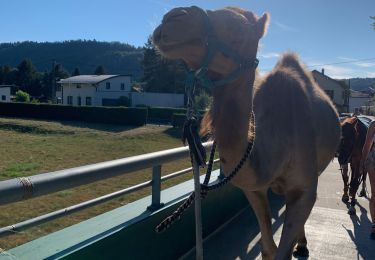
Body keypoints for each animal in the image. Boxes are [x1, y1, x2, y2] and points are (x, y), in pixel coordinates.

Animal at [152, 5, 340, 258]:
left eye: (238, 30)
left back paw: (301, 244)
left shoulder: (305, 188)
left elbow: (282, 249)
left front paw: (294, 244)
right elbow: (268, 248)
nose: (171, 19)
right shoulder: (254, 189)